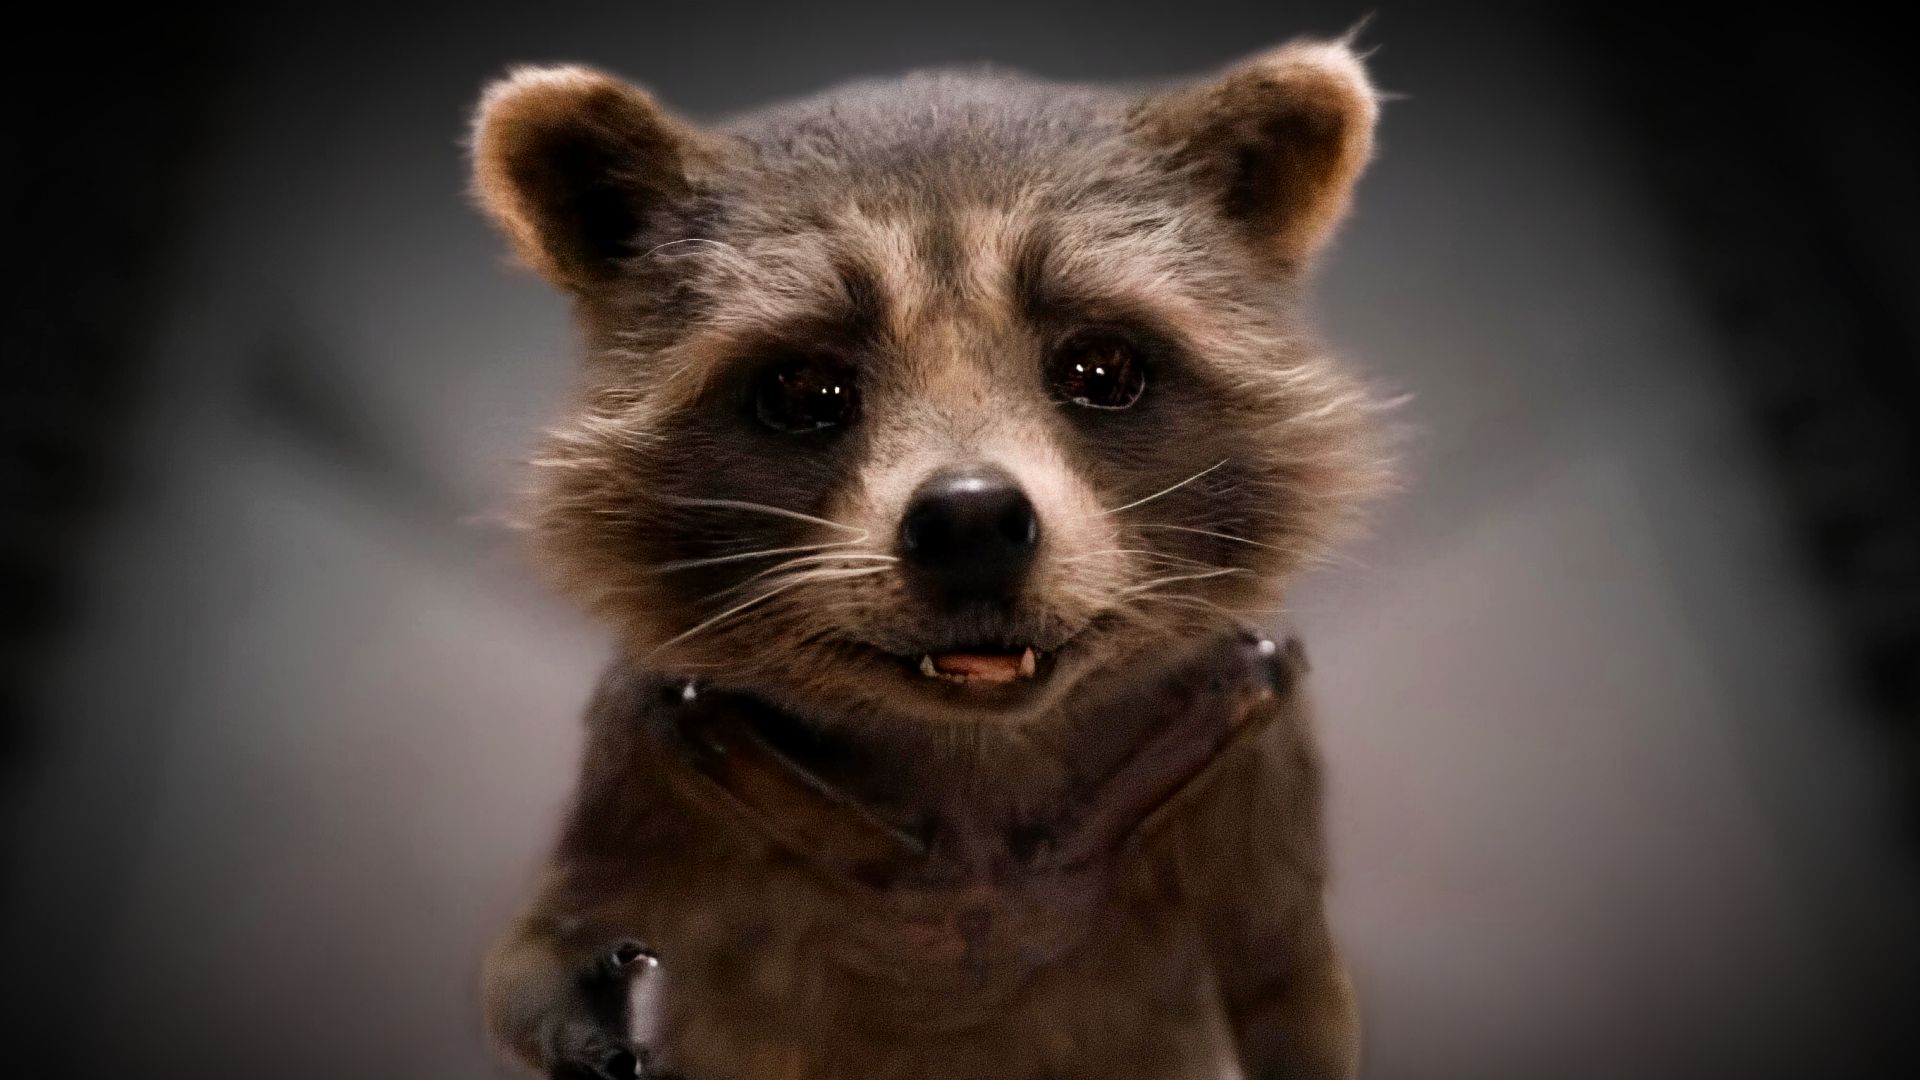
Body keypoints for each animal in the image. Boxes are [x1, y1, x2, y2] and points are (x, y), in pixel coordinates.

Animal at [470, 35, 1388, 1080]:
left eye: (1099, 368)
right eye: (805, 388)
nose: (971, 520)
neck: (974, 752)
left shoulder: (1258, 758)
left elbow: (1296, 993)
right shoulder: (641, 776)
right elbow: (524, 963)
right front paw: (587, 1009)